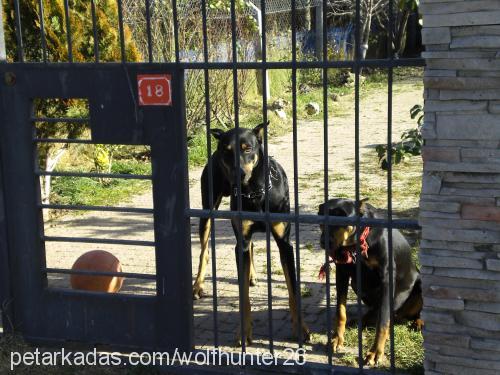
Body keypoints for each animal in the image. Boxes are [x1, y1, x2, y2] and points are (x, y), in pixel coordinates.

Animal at [191, 123, 308, 346]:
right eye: (226, 151)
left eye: (247, 149)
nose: (238, 176)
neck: (255, 192)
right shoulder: (241, 242)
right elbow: (243, 294)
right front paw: (244, 332)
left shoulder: (285, 243)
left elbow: (293, 291)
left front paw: (301, 330)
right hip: (207, 210)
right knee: (204, 252)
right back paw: (197, 286)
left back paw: (252, 274)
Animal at [316, 200, 422, 368]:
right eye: (322, 219)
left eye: (342, 220)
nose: (325, 242)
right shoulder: (342, 273)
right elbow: (340, 311)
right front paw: (337, 338)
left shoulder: (386, 278)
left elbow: (383, 321)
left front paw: (375, 352)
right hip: (357, 284)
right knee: (374, 312)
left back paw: (418, 322)